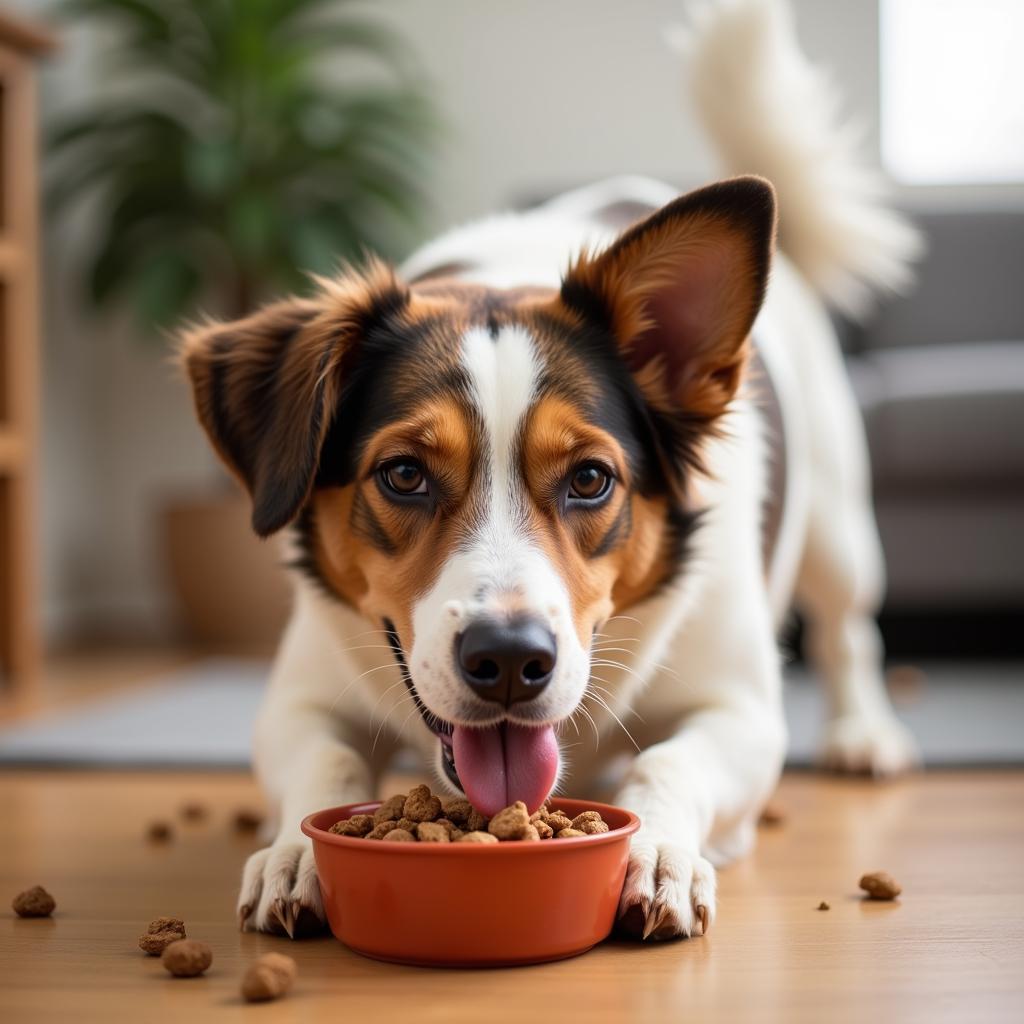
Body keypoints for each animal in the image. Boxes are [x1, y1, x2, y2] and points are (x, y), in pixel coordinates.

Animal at [182, 0, 921, 937]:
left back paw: (865, 734)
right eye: (403, 475)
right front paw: (296, 852)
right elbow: (326, 767)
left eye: (591, 480)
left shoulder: (745, 714)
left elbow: (670, 762)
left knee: (848, 629)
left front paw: (658, 850)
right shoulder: (299, 700)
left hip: (838, 525)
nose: (508, 660)